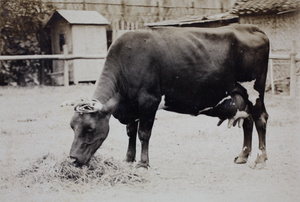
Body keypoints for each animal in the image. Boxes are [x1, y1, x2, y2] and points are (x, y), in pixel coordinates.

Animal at [67, 24, 270, 168]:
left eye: (90, 128)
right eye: (72, 127)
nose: (73, 159)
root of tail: (251, 27)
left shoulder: (149, 100)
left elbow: (143, 133)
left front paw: (143, 163)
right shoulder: (133, 106)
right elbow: (130, 132)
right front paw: (129, 158)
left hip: (255, 92)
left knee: (260, 119)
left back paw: (260, 159)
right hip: (241, 98)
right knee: (248, 121)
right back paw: (243, 156)